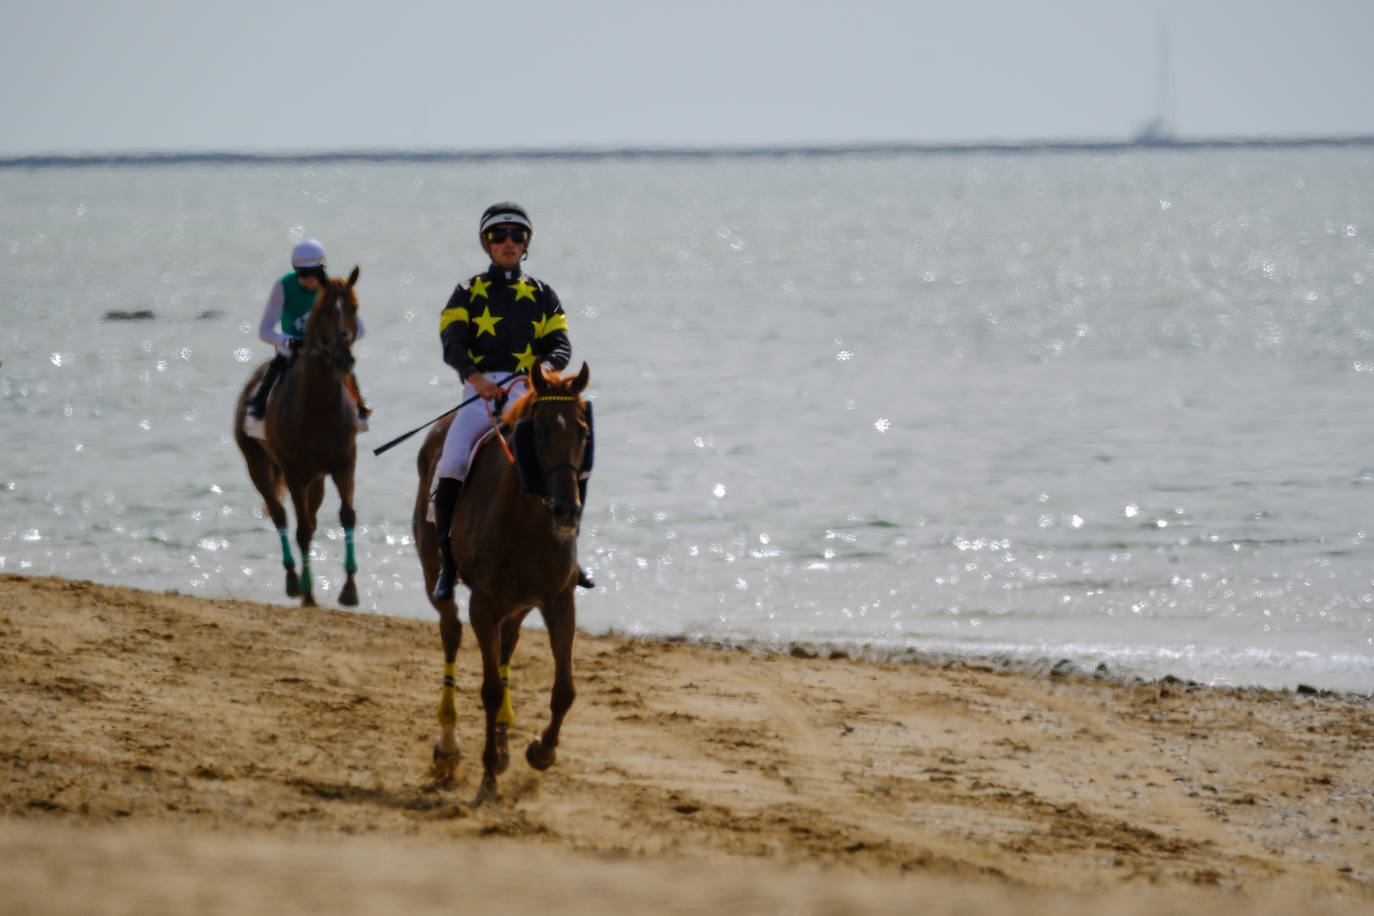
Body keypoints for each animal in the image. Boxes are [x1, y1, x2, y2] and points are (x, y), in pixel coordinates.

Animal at [236, 265, 365, 609]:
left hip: (315, 479)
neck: (318, 406)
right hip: (258, 465)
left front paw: (350, 588)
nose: (343, 359)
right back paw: (294, 581)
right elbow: (302, 529)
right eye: (324, 312)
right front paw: (307, 590)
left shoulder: (344, 463)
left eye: (353, 308)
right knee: (281, 516)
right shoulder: (294, 472)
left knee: (311, 516)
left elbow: (347, 516)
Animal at [414, 362, 593, 807]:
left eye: (583, 432)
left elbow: (565, 690)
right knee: (451, 633)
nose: (567, 510)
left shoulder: (558, 599)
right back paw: (448, 745)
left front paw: (541, 752)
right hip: (435, 575)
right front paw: (488, 778)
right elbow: (490, 689)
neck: (526, 518)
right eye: (539, 431)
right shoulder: (483, 603)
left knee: (507, 644)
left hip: (519, 603)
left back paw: (504, 742)